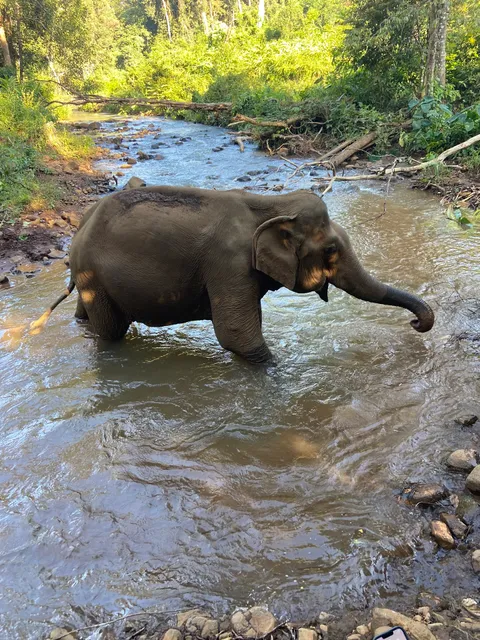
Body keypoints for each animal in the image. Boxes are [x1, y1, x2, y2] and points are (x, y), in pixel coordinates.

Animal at [32, 183, 434, 364]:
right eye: (331, 251)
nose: (416, 324)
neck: (270, 206)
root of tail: (78, 229)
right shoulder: (228, 263)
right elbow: (238, 335)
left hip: (90, 278)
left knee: (86, 317)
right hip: (94, 276)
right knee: (112, 332)